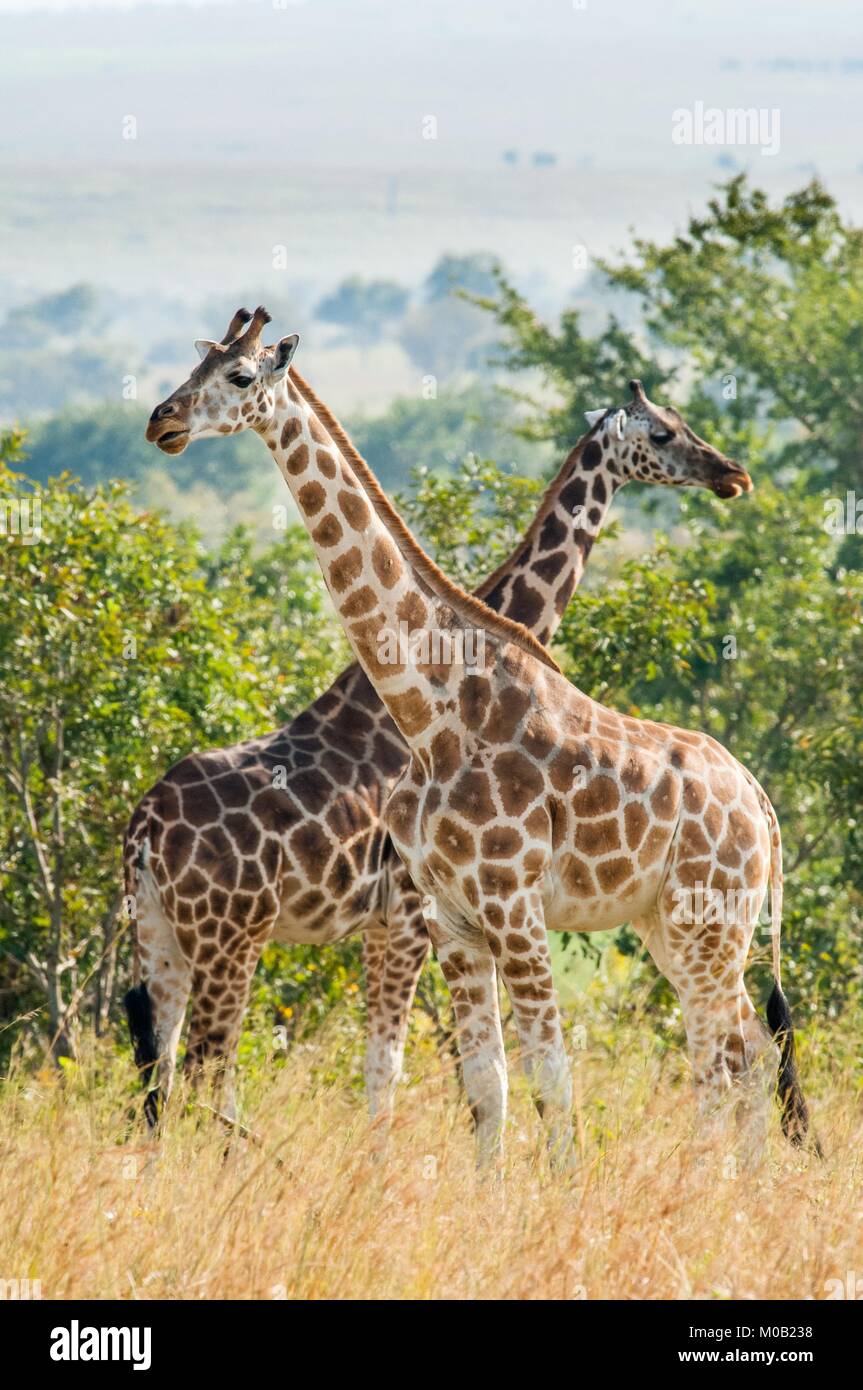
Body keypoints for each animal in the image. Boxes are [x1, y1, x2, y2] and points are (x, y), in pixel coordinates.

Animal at [131, 309, 811, 1167]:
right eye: (662, 431)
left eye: (240, 376)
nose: (162, 421)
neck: (431, 710)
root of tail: (758, 800)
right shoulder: (447, 920)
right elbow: (487, 1087)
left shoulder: (495, 911)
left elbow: (535, 1076)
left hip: (703, 919)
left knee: (731, 1055)